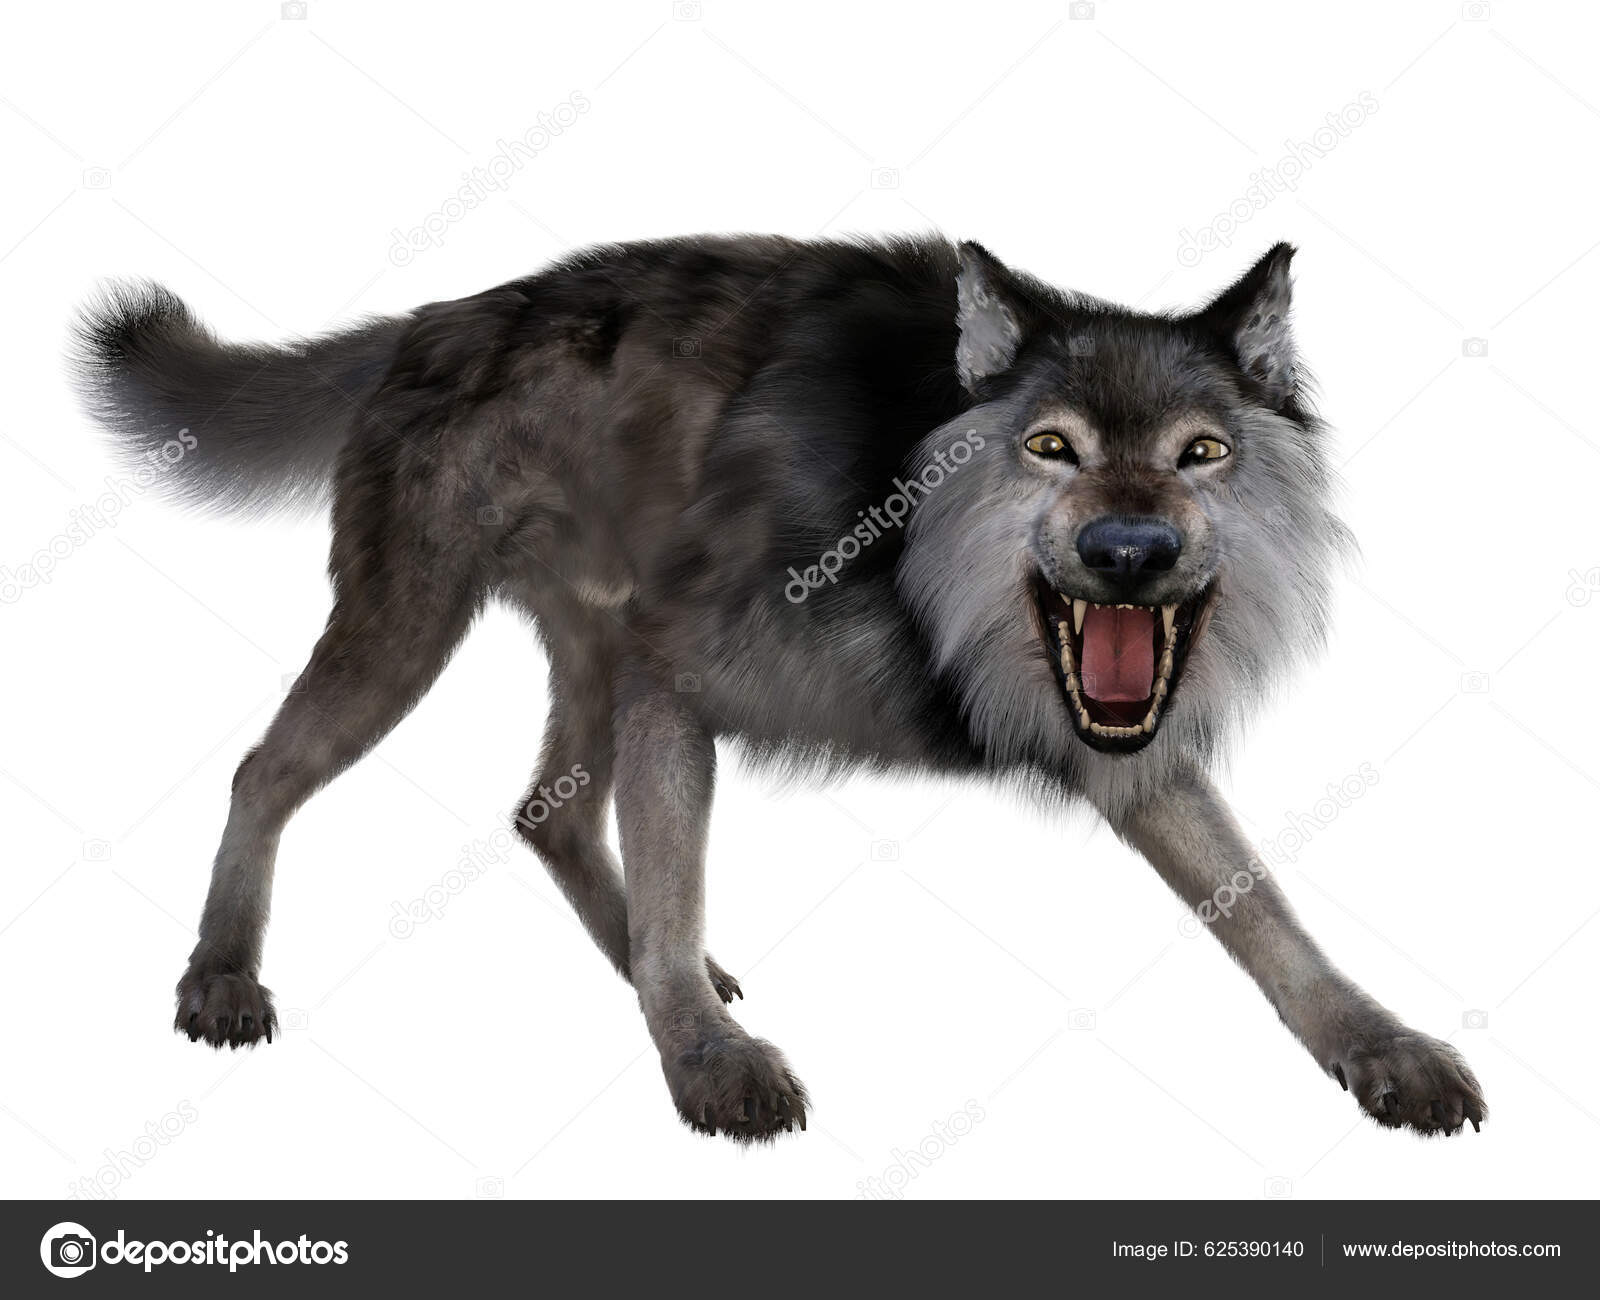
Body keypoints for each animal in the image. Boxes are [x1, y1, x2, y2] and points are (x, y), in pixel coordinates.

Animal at [74, 234, 1484, 1140]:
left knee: (544, 813)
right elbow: (677, 877)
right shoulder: (674, 670)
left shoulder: (1133, 760)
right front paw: (706, 1062)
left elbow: (1271, 919)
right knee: (264, 768)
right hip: (411, 634)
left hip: (580, 650)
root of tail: (434, 317)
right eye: (1051, 446)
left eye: (1201, 454)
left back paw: (650, 965)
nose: (1126, 553)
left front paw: (1384, 1047)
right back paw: (221, 974)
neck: (911, 546)